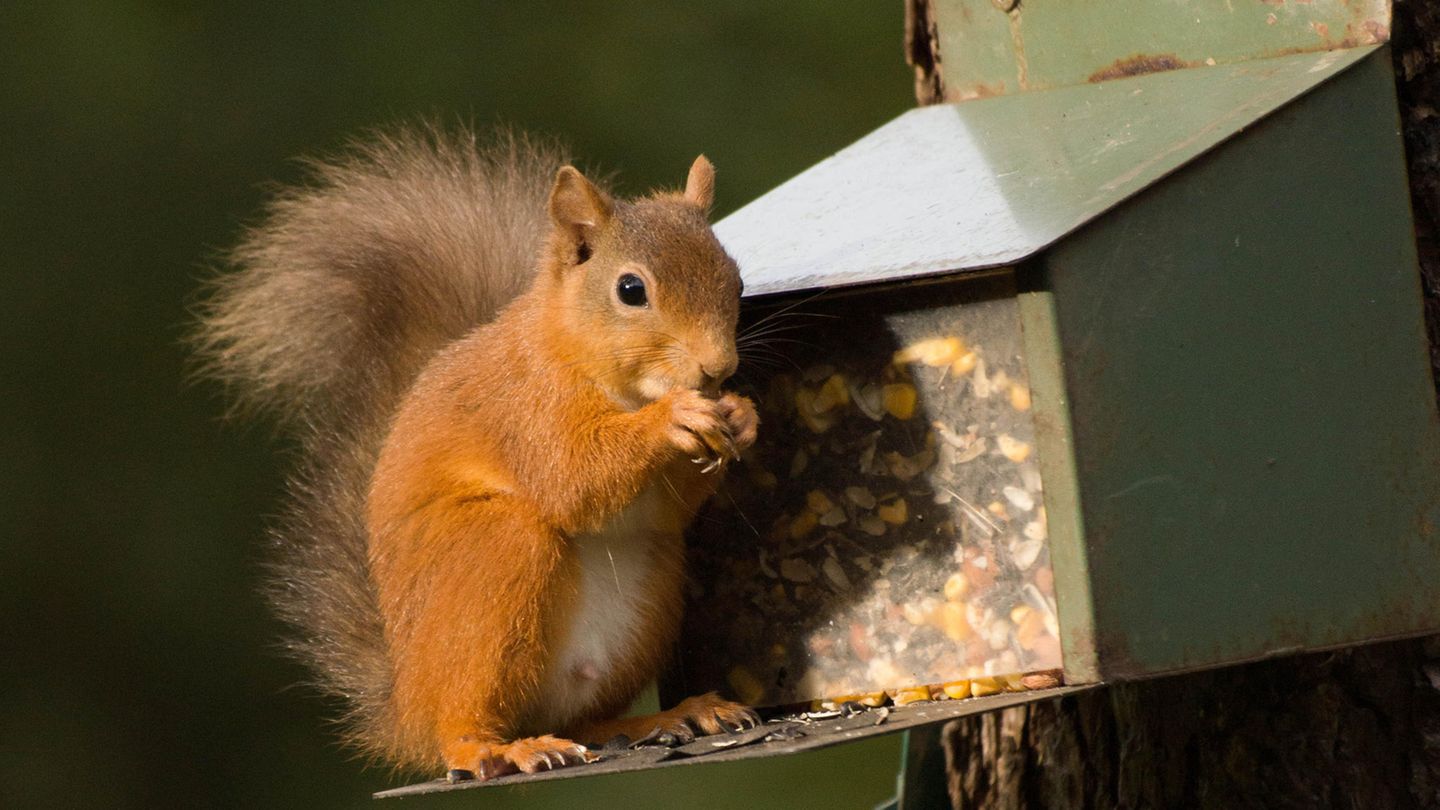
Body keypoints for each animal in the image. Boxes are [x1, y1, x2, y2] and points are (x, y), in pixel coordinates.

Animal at [204, 127, 766, 784]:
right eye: (631, 290)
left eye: (736, 281)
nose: (718, 368)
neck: (581, 354)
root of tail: (407, 710)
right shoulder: (524, 409)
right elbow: (572, 479)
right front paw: (674, 418)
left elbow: (663, 509)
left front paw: (742, 416)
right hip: (491, 556)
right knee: (464, 725)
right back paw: (491, 748)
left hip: (652, 589)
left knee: (584, 720)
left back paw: (665, 716)